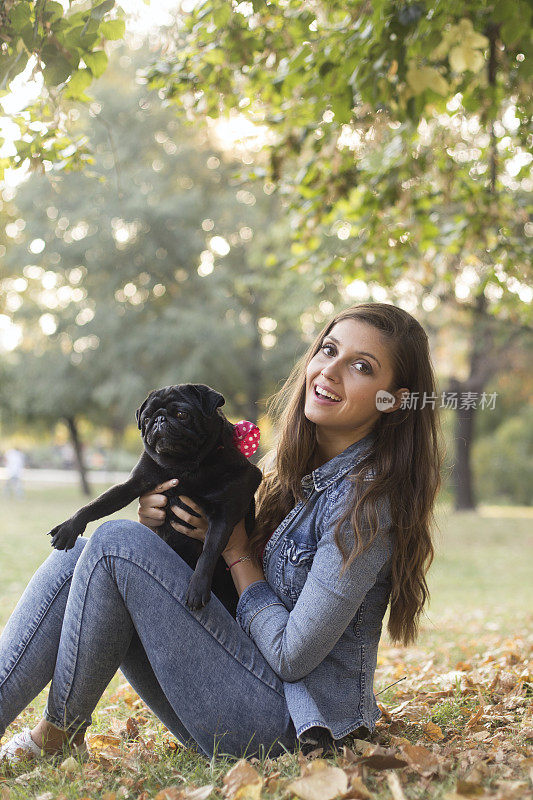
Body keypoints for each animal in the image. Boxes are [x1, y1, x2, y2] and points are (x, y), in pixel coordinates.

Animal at [47, 384, 262, 616]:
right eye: (147, 417)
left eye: (182, 414)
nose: (159, 419)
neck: (183, 467)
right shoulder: (133, 484)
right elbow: (98, 504)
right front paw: (69, 527)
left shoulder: (224, 513)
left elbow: (210, 549)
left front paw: (197, 586)